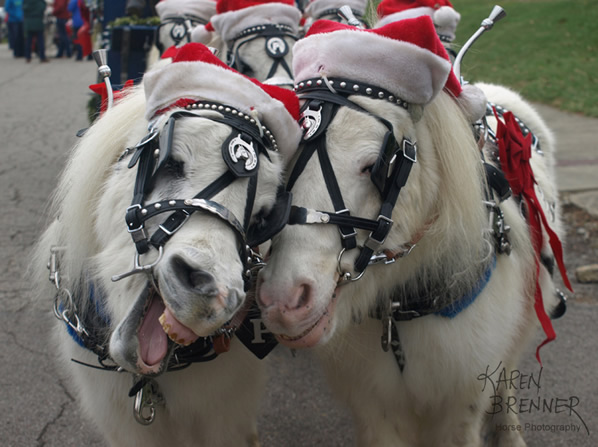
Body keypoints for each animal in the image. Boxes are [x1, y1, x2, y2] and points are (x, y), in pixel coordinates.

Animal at [258, 18, 568, 447]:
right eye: (282, 159)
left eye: (375, 165)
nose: (284, 299)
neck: (397, 309)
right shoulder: (375, 405)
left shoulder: (462, 397)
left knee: (508, 368)